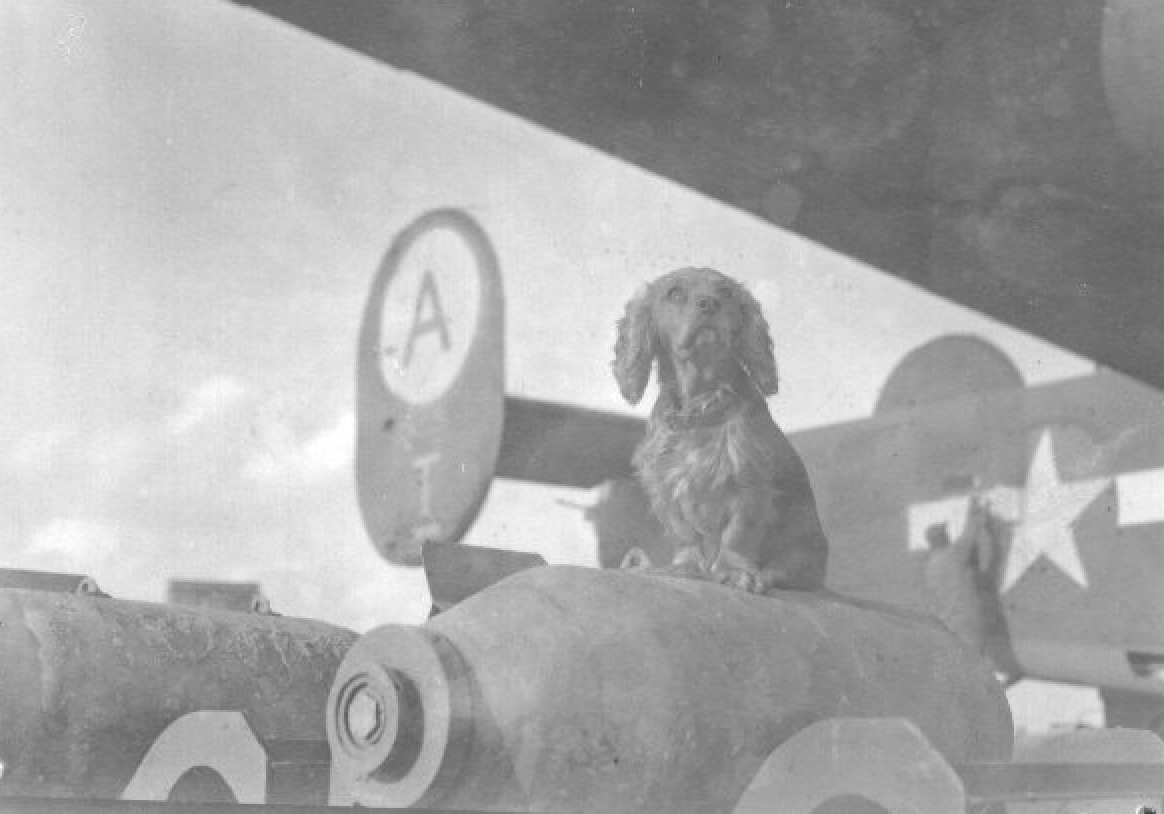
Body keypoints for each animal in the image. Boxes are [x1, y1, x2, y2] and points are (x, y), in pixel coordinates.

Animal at [612, 267, 828, 593]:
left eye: (726, 292)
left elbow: (737, 535)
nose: (709, 303)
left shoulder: (748, 483)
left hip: (803, 545)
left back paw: (768, 574)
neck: (701, 402)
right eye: (674, 293)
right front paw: (685, 566)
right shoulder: (667, 486)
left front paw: (734, 571)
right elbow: (686, 536)